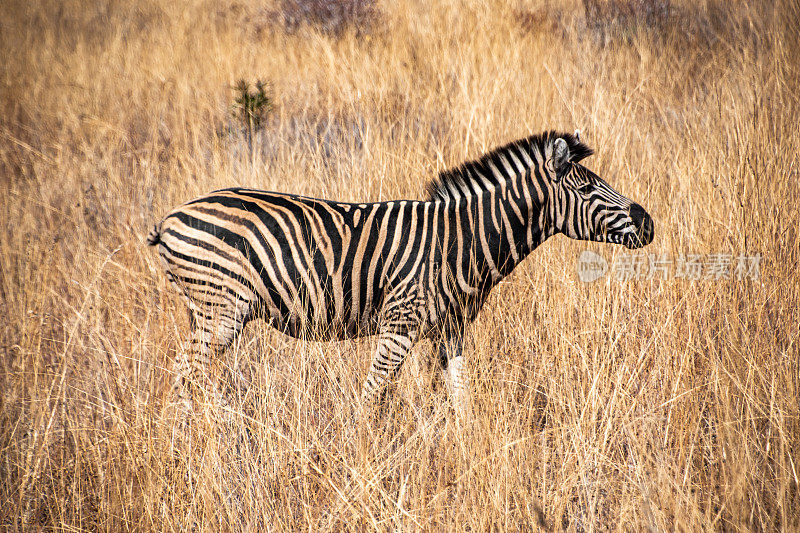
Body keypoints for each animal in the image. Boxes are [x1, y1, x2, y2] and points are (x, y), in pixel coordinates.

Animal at [147, 131, 652, 414]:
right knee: (183, 377)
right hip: (221, 311)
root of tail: (170, 218)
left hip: (204, 311)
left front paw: (468, 455)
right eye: (587, 189)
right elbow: (372, 397)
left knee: (188, 378)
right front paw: (361, 463)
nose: (648, 223)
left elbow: (462, 399)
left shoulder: (451, 330)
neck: (462, 240)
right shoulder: (401, 323)